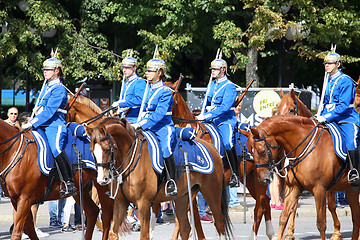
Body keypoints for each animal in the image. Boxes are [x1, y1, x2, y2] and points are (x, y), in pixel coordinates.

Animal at [87, 117, 233, 240]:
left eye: (106, 149)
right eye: (92, 151)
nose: (102, 180)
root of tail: (212, 147)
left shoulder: (144, 204)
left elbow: (145, 235)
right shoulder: (120, 203)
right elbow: (113, 233)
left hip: (211, 193)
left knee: (219, 223)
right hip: (182, 197)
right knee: (185, 228)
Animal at [167, 80, 274, 240]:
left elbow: (184, 218)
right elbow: (192, 217)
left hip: (259, 180)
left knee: (260, 206)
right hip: (249, 179)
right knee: (265, 201)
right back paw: (271, 233)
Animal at [278, 89, 342, 239]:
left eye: (291, 110)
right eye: (277, 110)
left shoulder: (325, 185)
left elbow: (331, 205)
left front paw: (336, 231)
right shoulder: (294, 184)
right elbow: (293, 207)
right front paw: (289, 232)